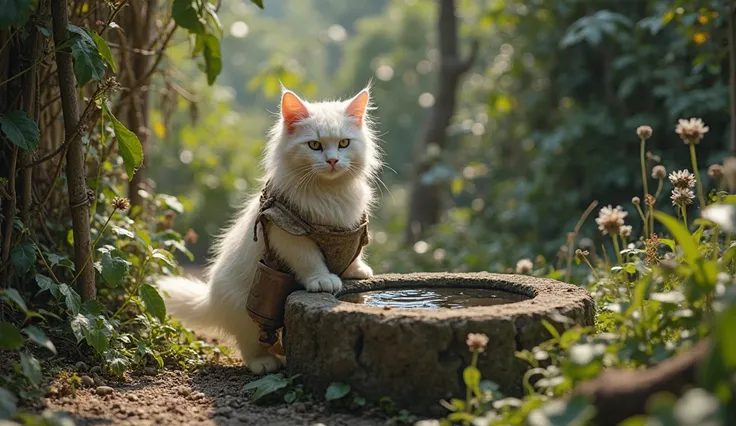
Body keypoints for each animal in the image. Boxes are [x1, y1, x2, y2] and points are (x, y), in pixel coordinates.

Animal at [159, 85, 382, 372]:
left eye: (344, 143)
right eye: (314, 145)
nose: (332, 160)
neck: (329, 192)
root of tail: (210, 299)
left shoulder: (351, 229)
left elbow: (354, 253)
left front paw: (358, 271)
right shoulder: (288, 235)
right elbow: (310, 260)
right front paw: (323, 280)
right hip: (246, 311)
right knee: (250, 346)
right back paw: (265, 363)